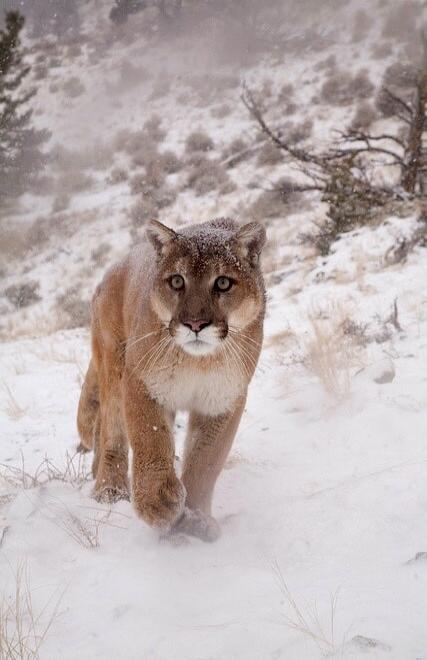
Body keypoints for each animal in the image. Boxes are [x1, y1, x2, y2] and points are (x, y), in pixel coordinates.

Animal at [77, 218, 266, 542]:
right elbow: (150, 438)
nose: (195, 324)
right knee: (111, 427)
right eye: (177, 281)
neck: (198, 363)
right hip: (114, 363)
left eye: (223, 283)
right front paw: (159, 504)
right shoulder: (141, 381)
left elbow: (205, 461)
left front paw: (196, 519)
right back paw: (109, 489)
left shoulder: (223, 400)